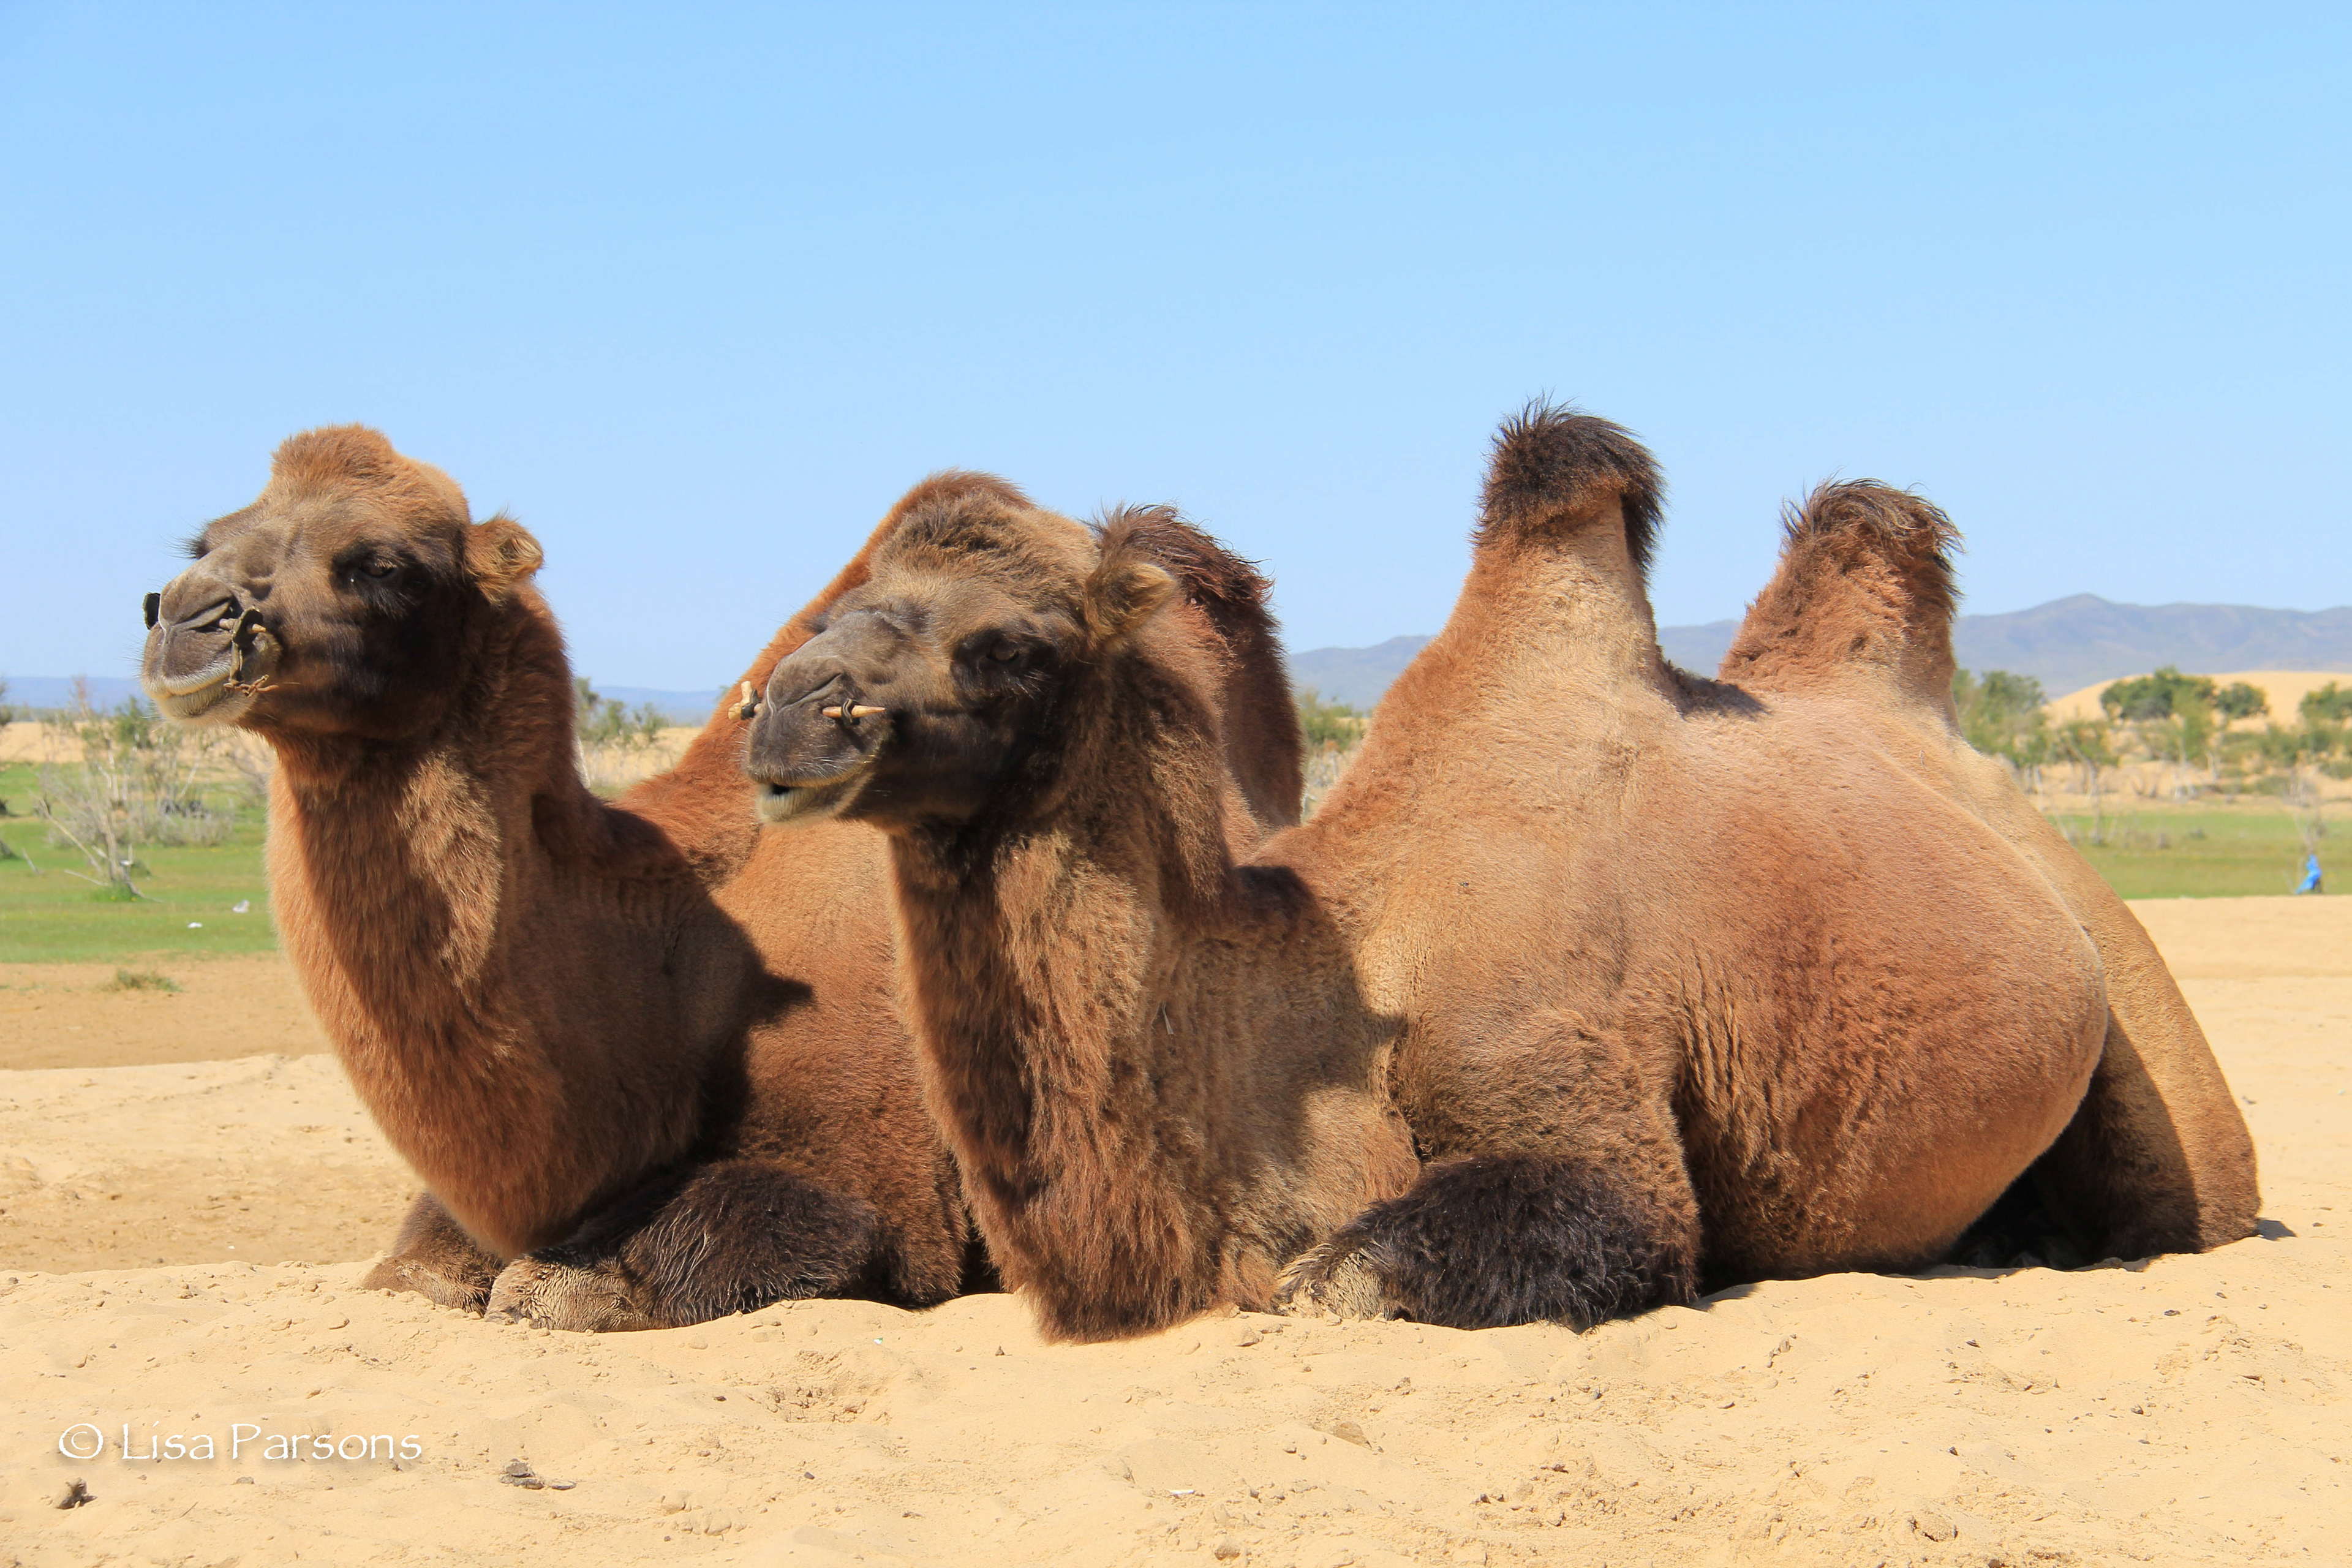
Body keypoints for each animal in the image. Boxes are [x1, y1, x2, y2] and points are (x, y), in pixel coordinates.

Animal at [137, 425, 1308, 1325]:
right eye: (206, 541)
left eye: (383, 567)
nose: (188, 620)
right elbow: (417, 1267)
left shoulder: (876, 1174)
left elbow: (634, 1261)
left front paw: (577, 1282)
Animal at [743, 402, 2248, 1335]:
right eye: (831, 609)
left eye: (1013, 644)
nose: (790, 711)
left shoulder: (1567, 1100)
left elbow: (1361, 1276)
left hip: (2152, 1037)